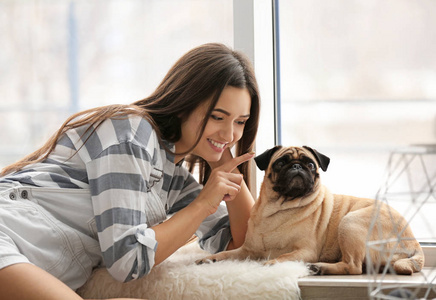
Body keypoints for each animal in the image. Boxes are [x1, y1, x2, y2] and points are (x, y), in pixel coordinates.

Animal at [196, 146, 424, 276]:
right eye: (281, 162)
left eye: (311, 165)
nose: (297, 166)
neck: (278, 208)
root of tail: (413, 241)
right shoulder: (247, 251)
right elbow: (226, 254)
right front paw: (210, 259)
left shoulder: (305, 251)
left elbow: (283, 257)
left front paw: (271, 264)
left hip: (349, 222)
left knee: (353, 267)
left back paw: (320, 267)